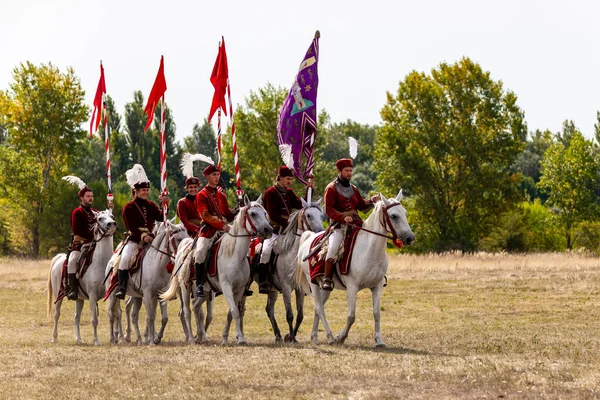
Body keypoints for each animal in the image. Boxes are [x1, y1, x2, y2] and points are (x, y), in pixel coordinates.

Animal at [47, 211, 117, 346]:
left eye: (112, 216)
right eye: (100, 218)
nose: (111, 225)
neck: (101, 264)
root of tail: (59, 258)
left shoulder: (110, 294)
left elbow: (112, 315)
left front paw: (113, 339)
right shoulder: (92, 296)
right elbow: (94, 320)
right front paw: (96, 341)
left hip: (79, 299)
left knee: (76, 317)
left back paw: (79, 339)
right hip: (58, 295)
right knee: (56, 314)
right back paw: (54, 338)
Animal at [159, 195, 272, 346]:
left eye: (265, 213)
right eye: (253, 214)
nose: (268, 230)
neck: (235, 255)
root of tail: (183, 249)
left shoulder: (239, 289)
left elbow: (231, 313)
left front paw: (228, 338)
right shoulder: (226, 287)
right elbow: (235, 311)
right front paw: (237, 338)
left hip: (206, 292)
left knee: (196, 307)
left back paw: (200, 336)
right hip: (185, 288)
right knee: (187, 311)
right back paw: (191, 339)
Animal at [258, 198, 324, 342]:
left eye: (321, 215)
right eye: (308, 215)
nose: (320, 233)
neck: (291, 254)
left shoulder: (300, 289)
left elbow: (300, 315)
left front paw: (291, 336)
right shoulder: (287, 288)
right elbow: (290, 314)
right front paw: (292, 337)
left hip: (273, 290)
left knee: (269, 310)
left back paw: (278, 334)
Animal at [296, 191, 418, 346]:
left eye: (405, 213)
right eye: (394, 216)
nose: (410, 238)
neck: (369, 250)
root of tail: (309, 238)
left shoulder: (377, 286)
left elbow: (377, 313)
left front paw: (379, 340)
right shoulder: (352, 288)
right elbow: (351, 316)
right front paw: (341, 337)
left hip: (325, 286)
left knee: (319, 308)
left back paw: (314, 337)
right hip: (313, 283)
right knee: (319, 307)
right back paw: (330, 337)